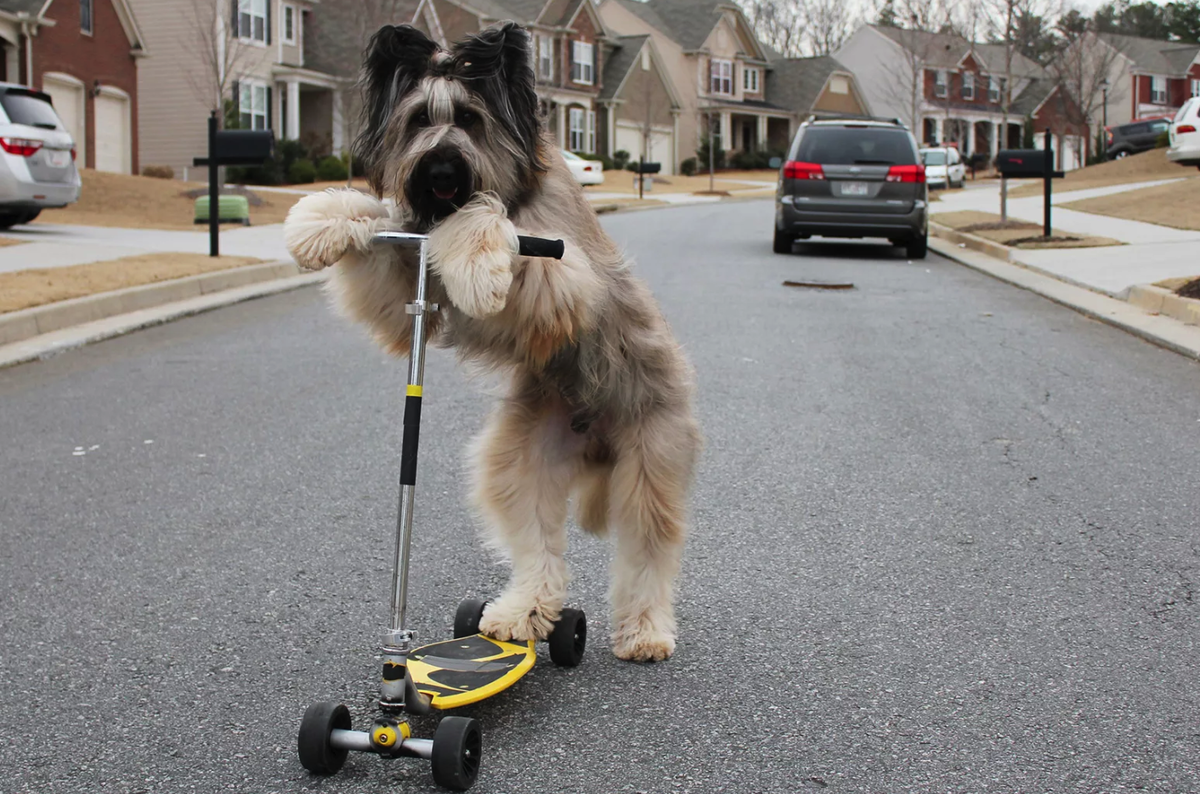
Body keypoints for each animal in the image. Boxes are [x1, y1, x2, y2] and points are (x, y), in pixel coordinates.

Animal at [284, 21, 700, 662]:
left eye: (469, 119)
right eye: (418, 120)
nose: (440, 171)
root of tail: (597, 446)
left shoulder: (565, 277)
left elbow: (491, 230)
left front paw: (478, 259)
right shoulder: (409, 284)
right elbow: (383, 235)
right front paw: (321, 220)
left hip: (649, 461)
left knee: (646, 555)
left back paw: (645, 631)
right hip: (520, 461)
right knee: (538, 549)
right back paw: (518, 616)